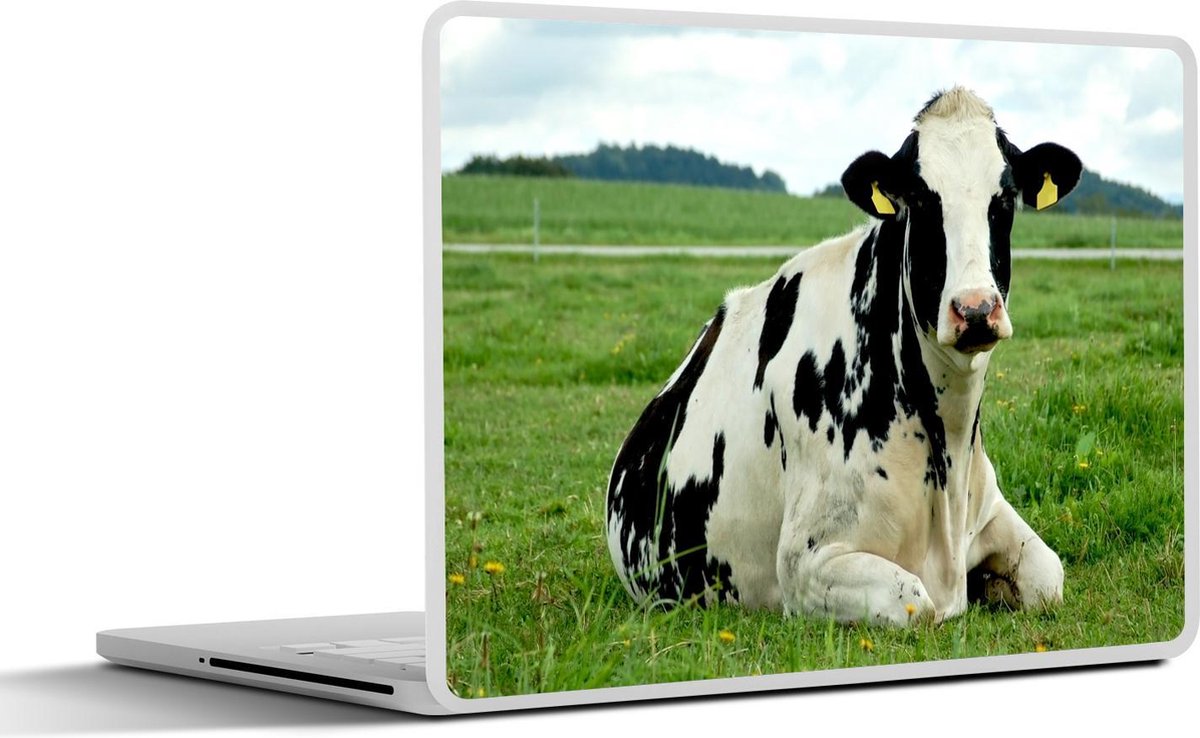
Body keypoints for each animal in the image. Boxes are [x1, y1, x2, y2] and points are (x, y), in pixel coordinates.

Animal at [604, 87, 1081, 626]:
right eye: (920, 198)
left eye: (1003, 199)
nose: (976, 309)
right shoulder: (806, 563)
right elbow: (918, 603)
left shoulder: (989, 513)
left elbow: (1049, 576)